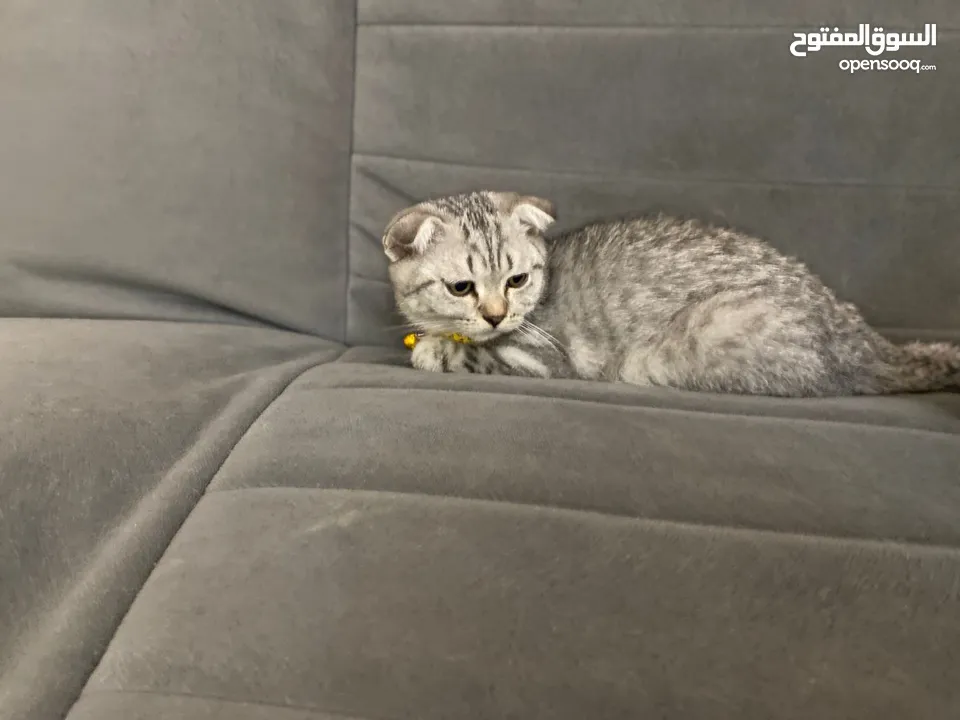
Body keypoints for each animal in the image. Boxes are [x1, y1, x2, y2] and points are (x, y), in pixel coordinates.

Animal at [382, 188, 960, 396]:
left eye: (516, 280)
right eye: (462, 287)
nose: (497, 315)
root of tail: (867, 340)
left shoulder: (540, 358)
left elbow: (471, 355)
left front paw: (434, 350)